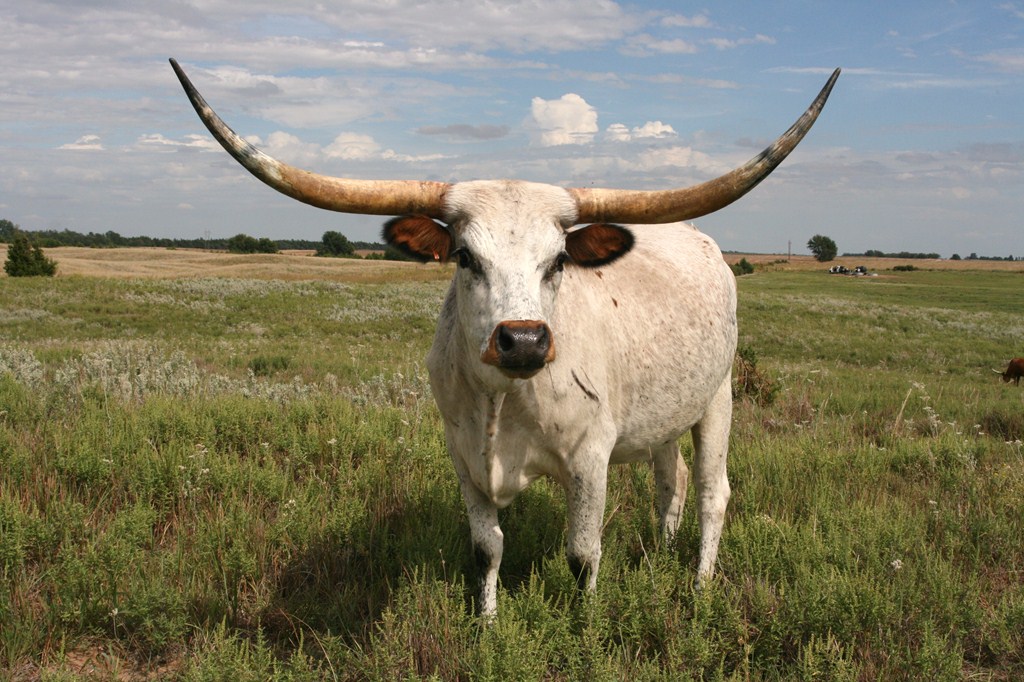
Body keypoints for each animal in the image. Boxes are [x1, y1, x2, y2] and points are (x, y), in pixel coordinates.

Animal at [170, 59, 840, 616]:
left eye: (559, 260)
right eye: (465, 257)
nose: (523, 341)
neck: (502, 404)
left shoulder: (590, 458)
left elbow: (582, 554)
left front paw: (583, 626)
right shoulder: (463, 457)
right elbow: (487, 547)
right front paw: (488, 623)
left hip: (719, 397)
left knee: (710, 492)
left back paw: (699, 584)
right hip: (664, 415)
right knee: (667, 484)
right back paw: (661, 553)